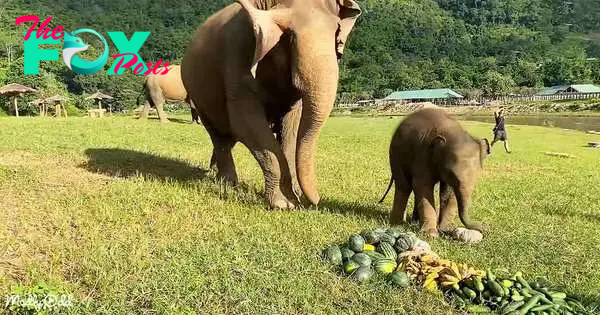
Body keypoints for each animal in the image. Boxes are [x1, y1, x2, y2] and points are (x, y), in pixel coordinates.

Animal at [182, 0, 360, 211]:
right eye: (289, 37)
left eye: (336, 33)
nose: (316, 202)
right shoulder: (239, 55)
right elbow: (246, 123)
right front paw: (286, 204)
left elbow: (291, 127)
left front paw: (295, 195)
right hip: (198, 96)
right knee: (219, 134)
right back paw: (228, 184)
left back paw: (213, 172)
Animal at [380, 108, 492, 237]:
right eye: (451, 174)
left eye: (477, 174)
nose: (485, 227)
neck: (451, 131)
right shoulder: (423, 155)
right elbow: (422, 186)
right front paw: (431, 234)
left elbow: (448, 193)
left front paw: (445, 229)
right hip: (396, 155)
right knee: (404, 186)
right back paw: (397, 223)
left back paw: (414, 221)